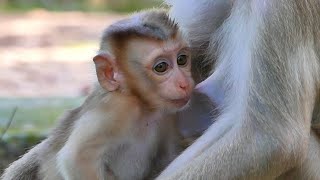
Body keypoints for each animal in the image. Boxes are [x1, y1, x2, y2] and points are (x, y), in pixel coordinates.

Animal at [1, 9, 194, 180]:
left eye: (181, 59)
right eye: (161, 67)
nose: (184, 83)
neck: (143, 105)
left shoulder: (168, 115)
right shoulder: (117, 109)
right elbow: (76, 158)